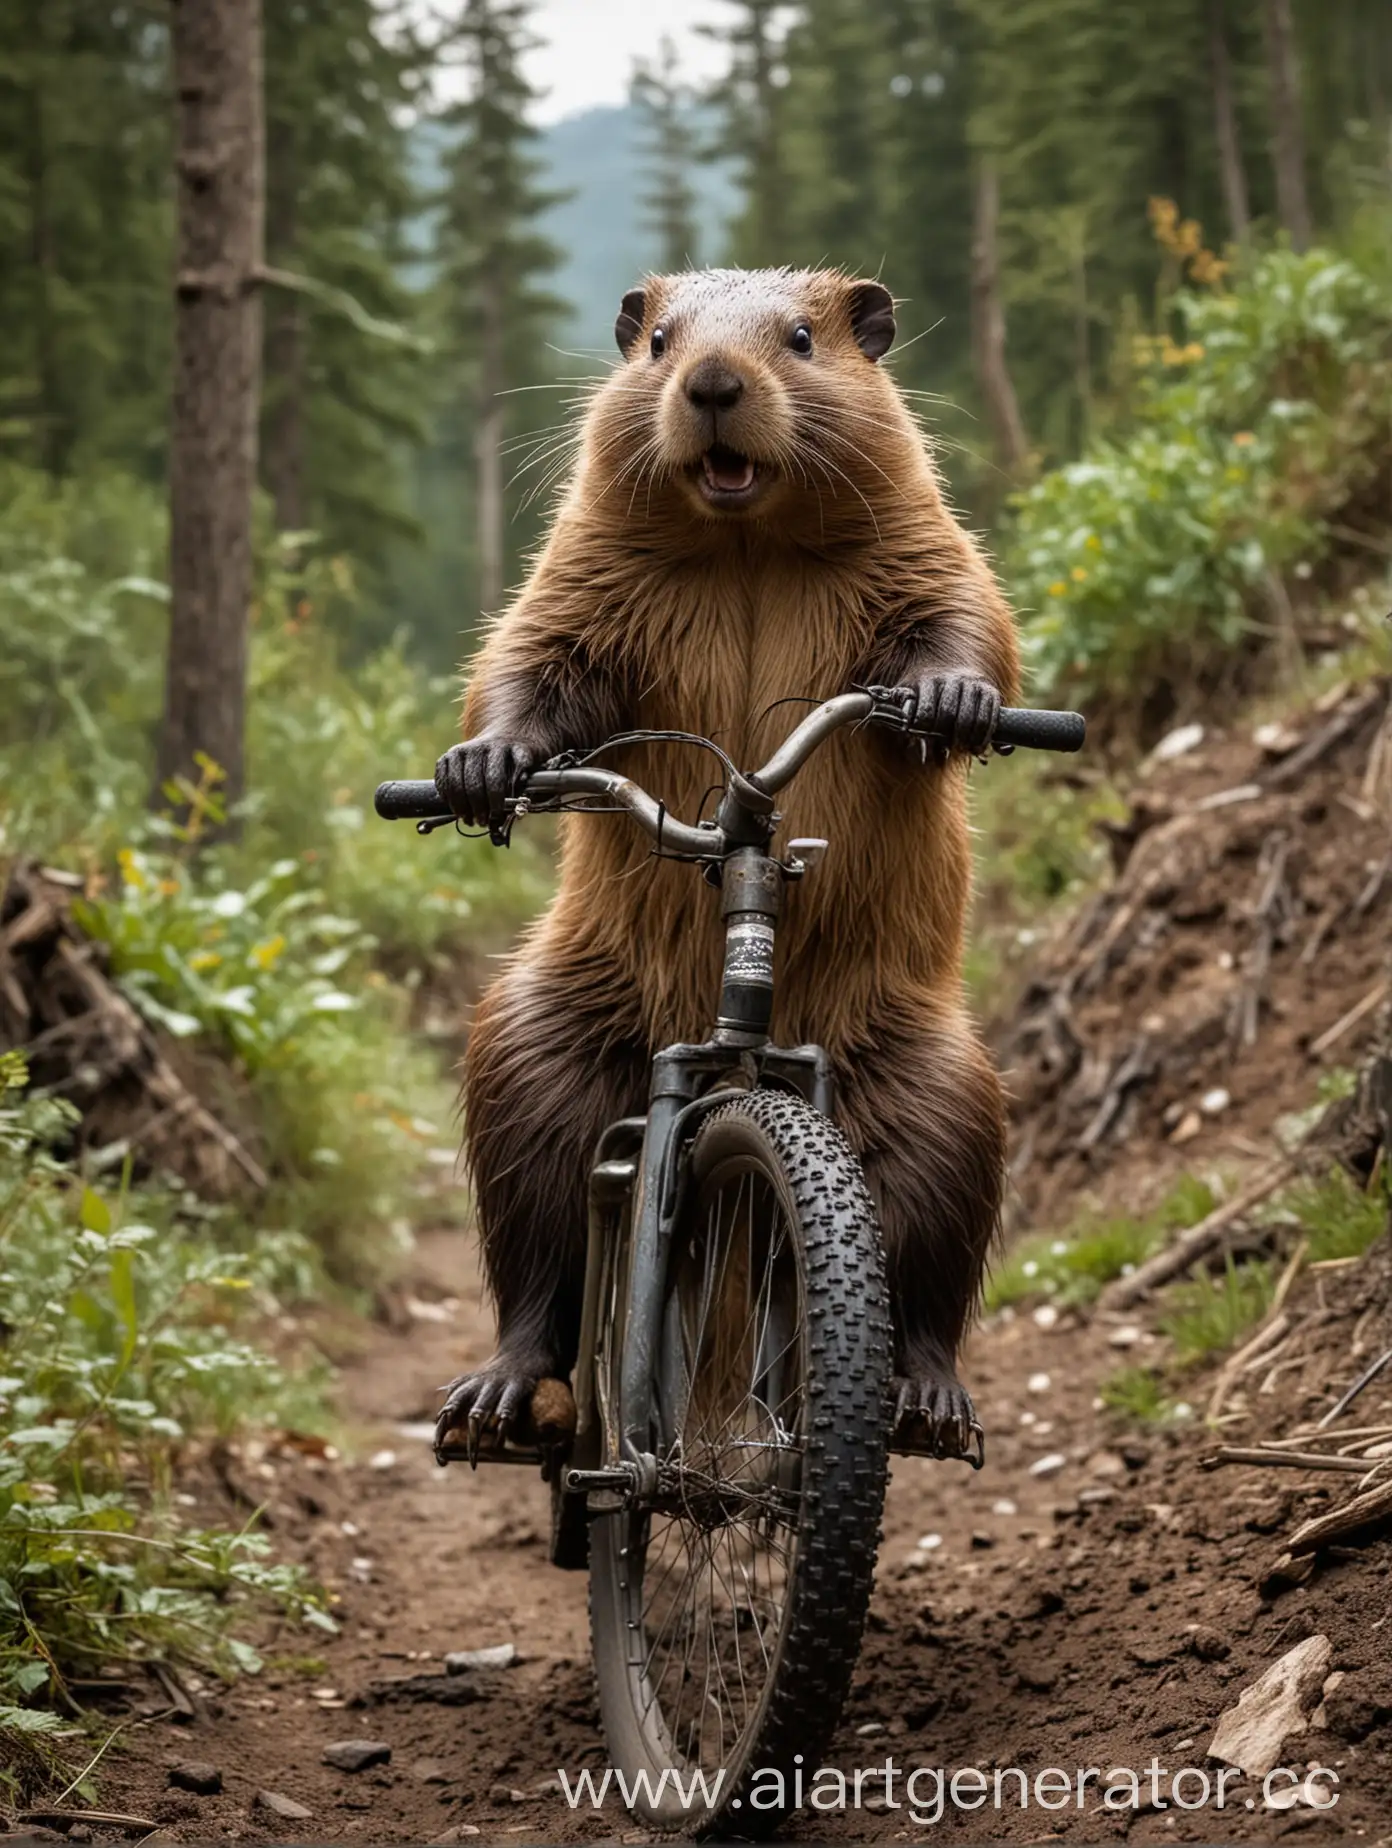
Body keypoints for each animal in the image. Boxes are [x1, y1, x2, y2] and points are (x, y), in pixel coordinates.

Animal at [434, 267, 1020, 1463]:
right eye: (658, 338)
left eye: (801, 335)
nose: (712, 380)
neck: (745, 545)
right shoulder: (587, 563)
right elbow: (532, 650)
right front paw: (483, 765)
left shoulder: (918, 533)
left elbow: (966, 613)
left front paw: (954, 700)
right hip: (549, 1028)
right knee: (539, 1226)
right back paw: (500, 1399)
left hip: (936, 1073)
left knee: (930, 1242)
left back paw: (930, 1403)